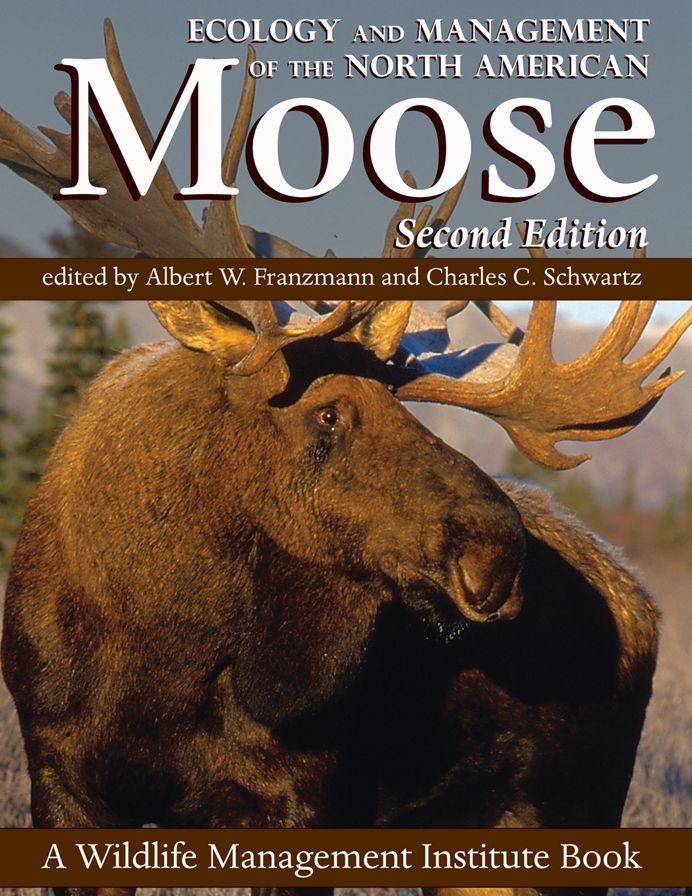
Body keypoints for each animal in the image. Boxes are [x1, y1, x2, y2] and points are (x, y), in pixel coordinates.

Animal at [1, 19, 691, 896]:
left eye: (403, 409)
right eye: (327, 412)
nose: (498, 556)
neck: (160, 650)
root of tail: (641, 602)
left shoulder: (298, 797)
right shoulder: (62, 779)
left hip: (561, 814)